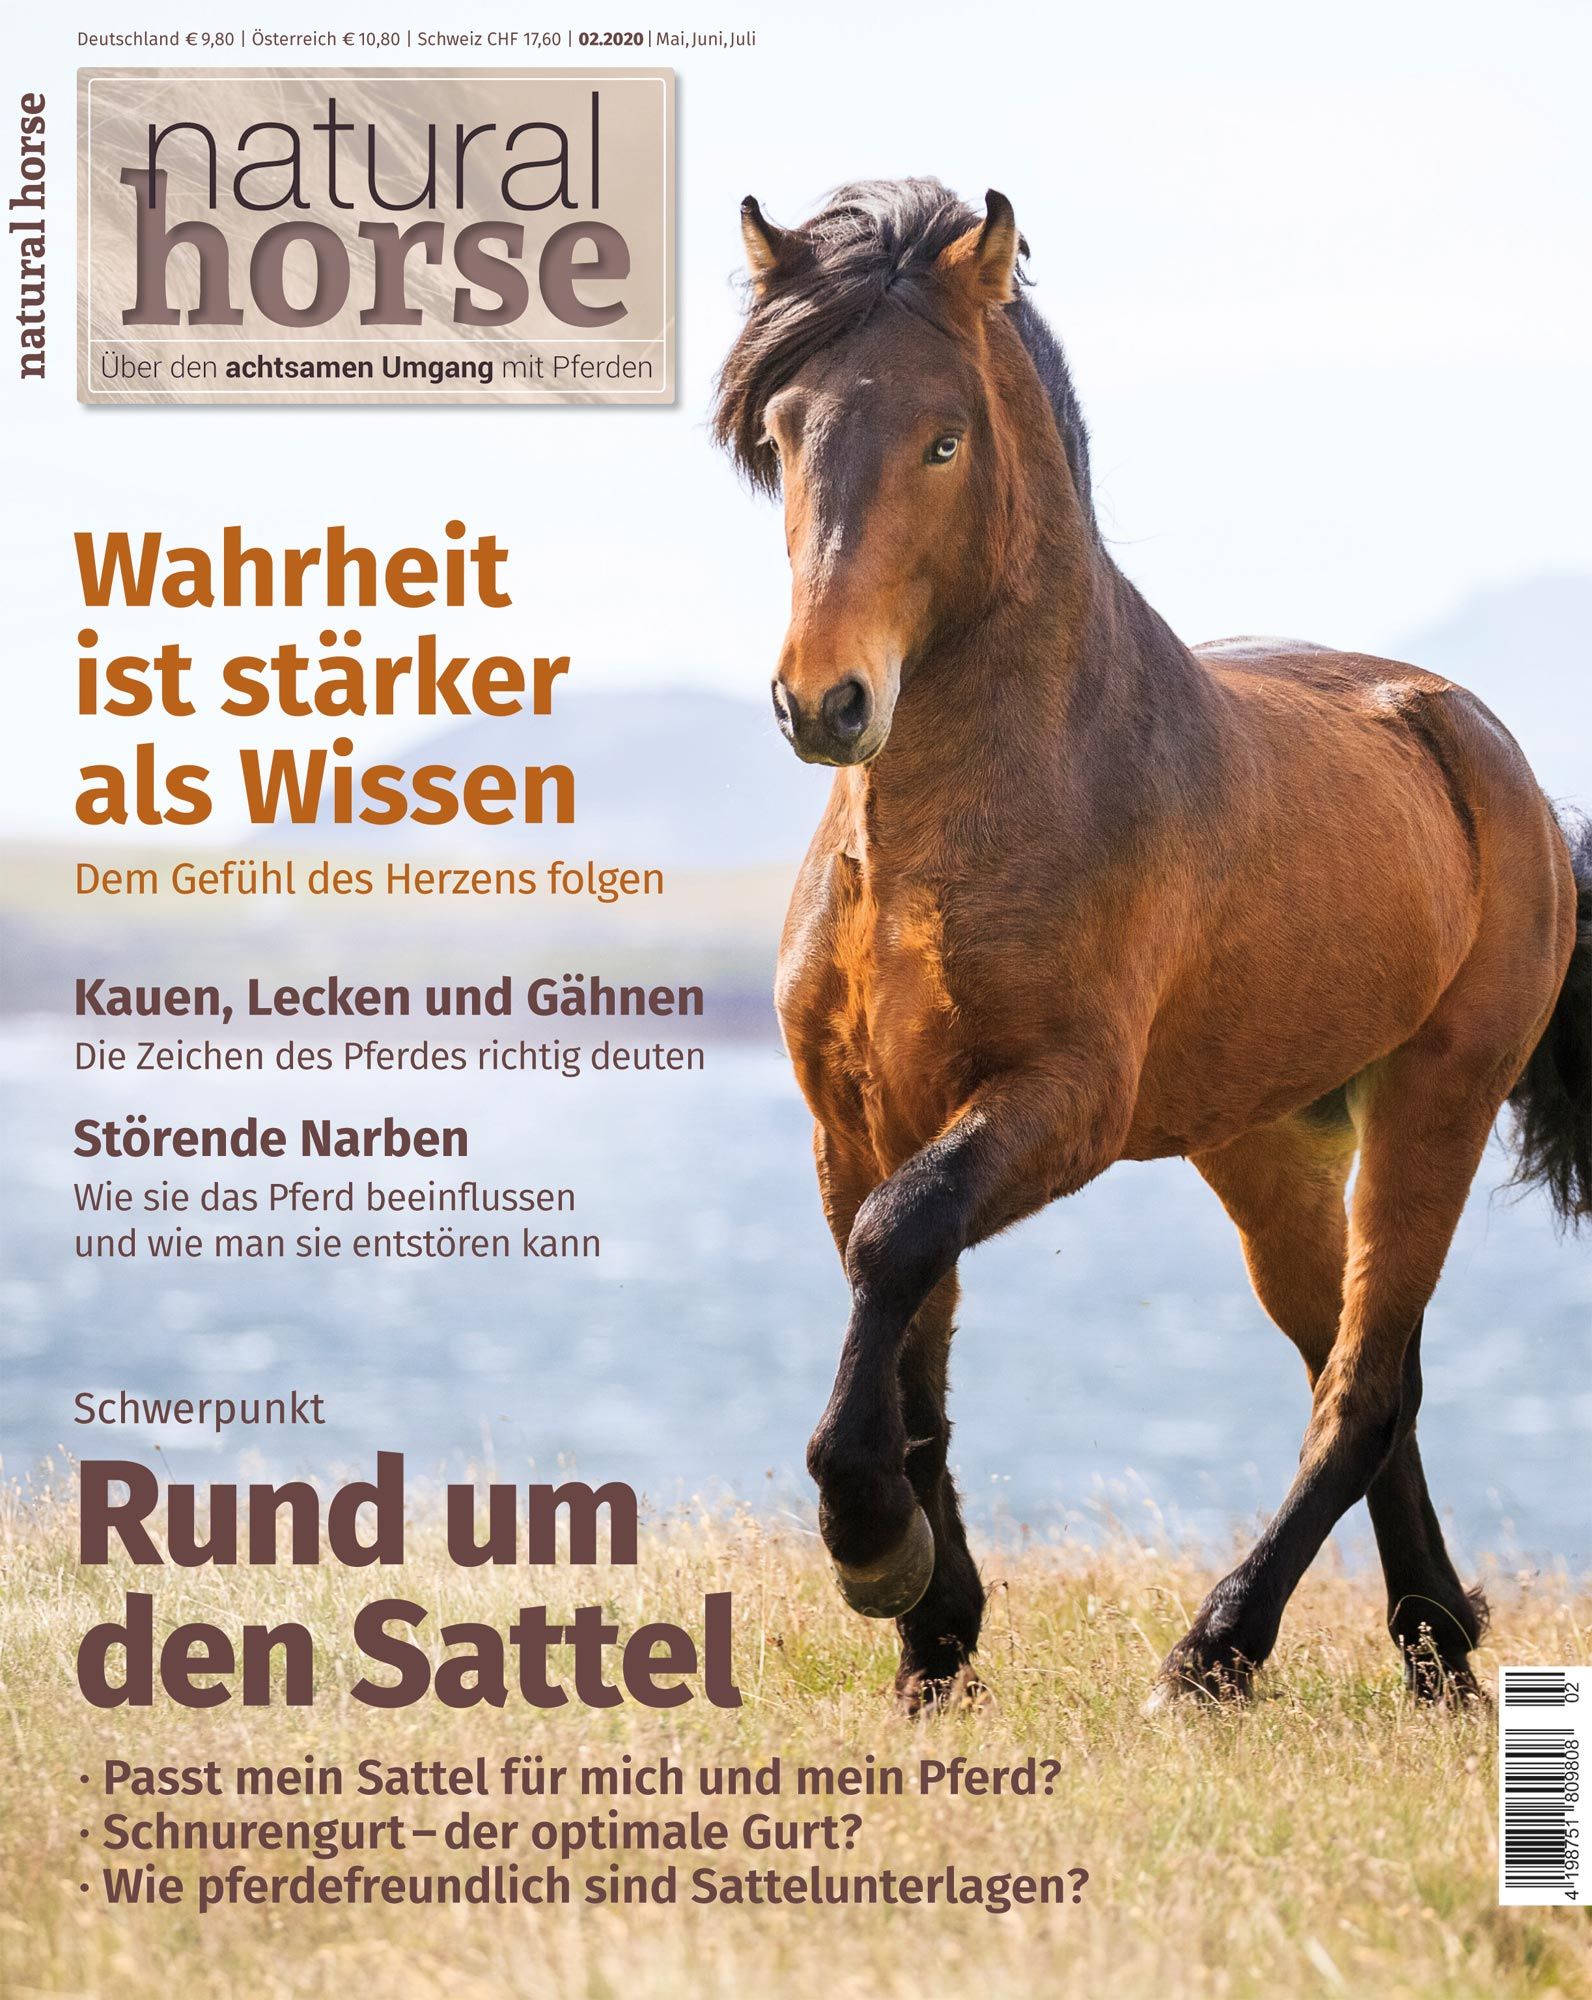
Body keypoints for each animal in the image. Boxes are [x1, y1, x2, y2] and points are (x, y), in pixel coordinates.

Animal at [714, 178, 1591, 1713]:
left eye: (944, 437)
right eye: (783, 431)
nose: (825, 701)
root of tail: (1487, 754)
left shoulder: (1061, 1101)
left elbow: (900, 1243)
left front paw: (872, 1548)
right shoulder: (856, 1115)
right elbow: (908, 1328)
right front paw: (933, 1634)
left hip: (1437, 1098)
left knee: (1363, 1386)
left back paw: (1218, 1649)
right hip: (1265, 1145)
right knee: (1364, 1368)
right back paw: (1432, 1643)